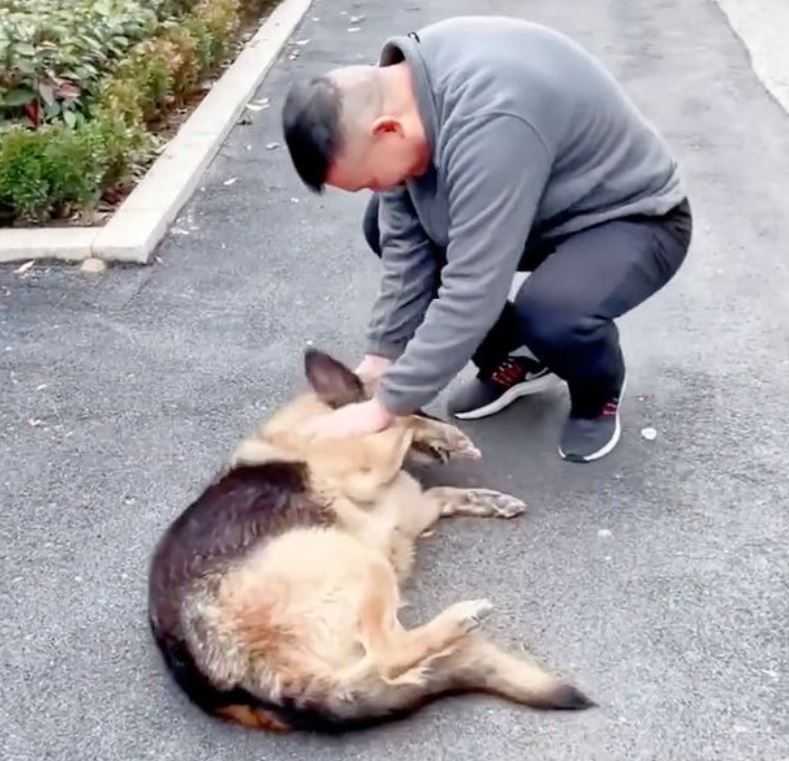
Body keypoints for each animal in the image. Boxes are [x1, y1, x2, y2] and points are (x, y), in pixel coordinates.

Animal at [146, 348, 592, 732]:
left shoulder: (413, 508)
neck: (314, 422)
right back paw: (460, 619)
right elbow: (400, 425)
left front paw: (490, 499)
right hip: (360, 562)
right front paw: (445, 433)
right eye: (420, 404)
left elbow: (444, 492)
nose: (444, 427)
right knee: (388, 656)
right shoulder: (372, 467)